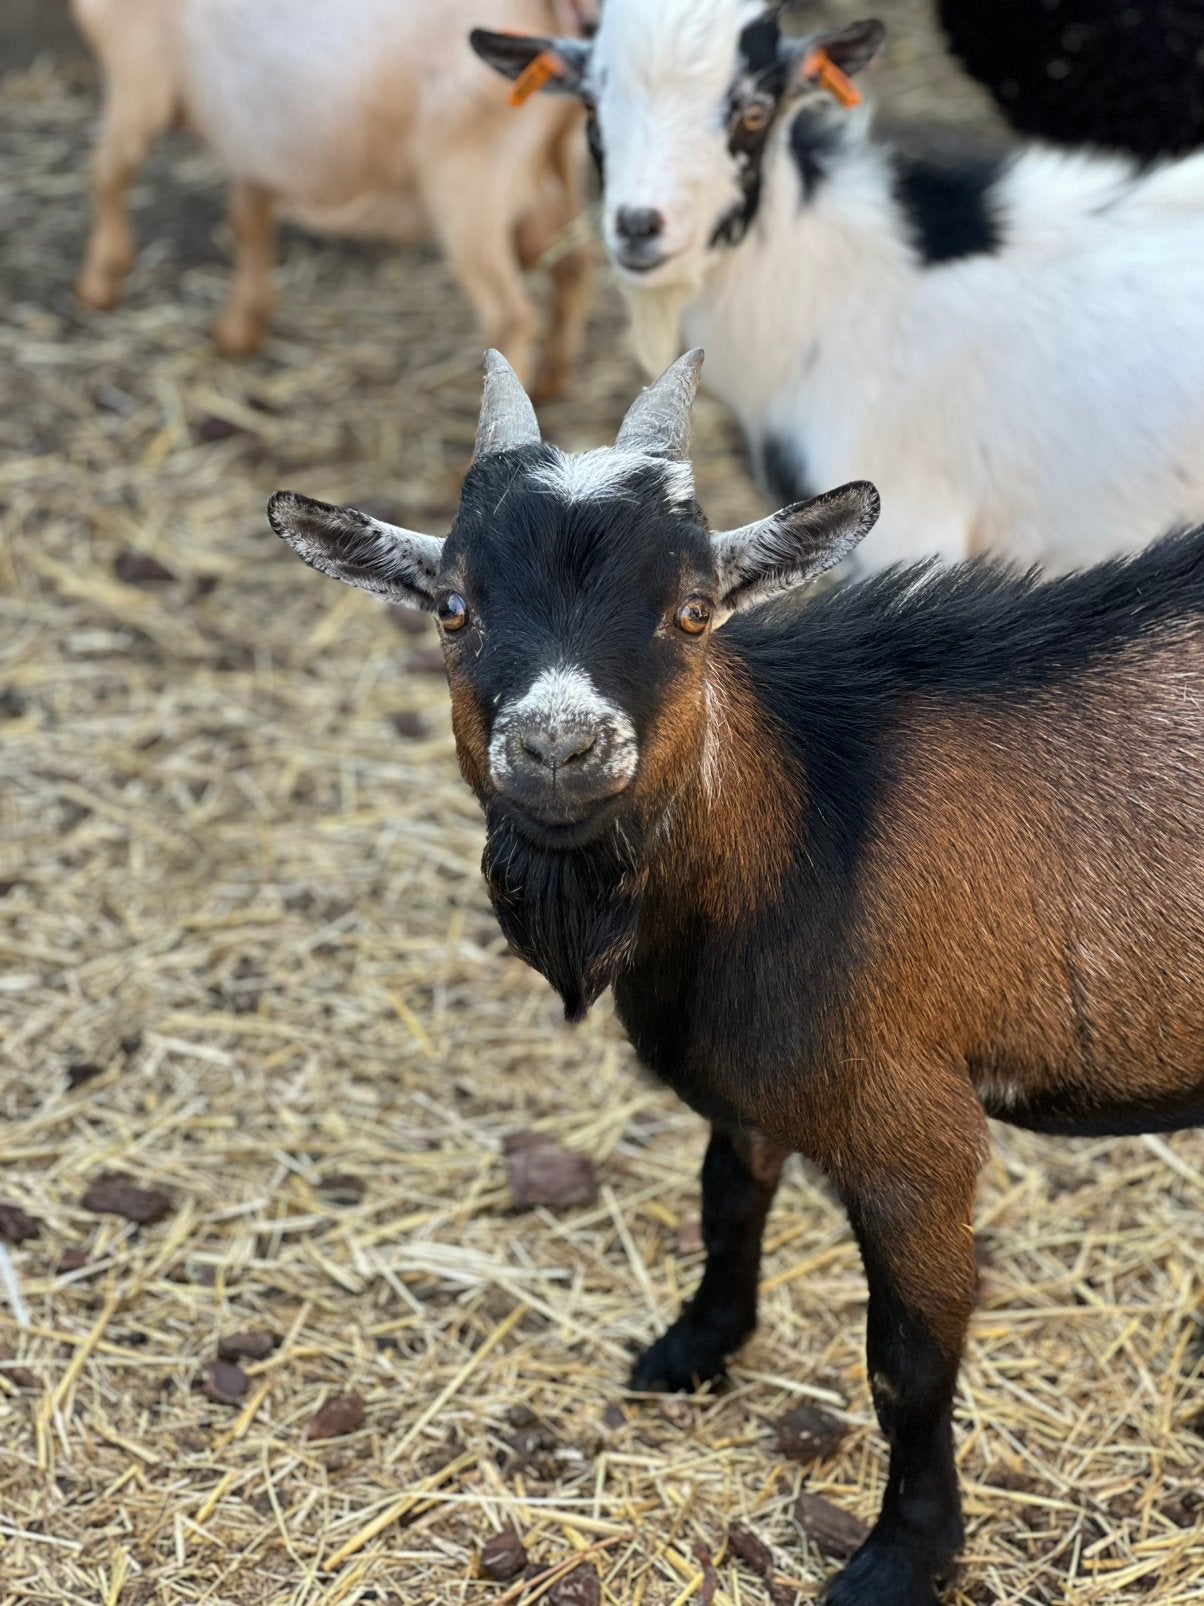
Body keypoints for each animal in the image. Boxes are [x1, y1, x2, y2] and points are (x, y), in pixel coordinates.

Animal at [72, 0, 592, 397]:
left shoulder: (138, 77)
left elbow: (108, 174)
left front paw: (99, 284)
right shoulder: (255, 140)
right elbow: (248, 215)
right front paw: (241, 327)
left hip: (467, 182)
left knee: (510, 316)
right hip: (554, 159)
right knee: (573, 263)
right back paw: (553, 381)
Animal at [268, 348, 1204, 1606]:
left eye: (694, 610)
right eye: (455, 609)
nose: (559, 746)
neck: (808, 820)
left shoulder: (915, 1137)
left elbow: (907, 1359)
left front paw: (899, 1557)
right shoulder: (746, 1084)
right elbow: (724, 1205)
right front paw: (689, 1348)